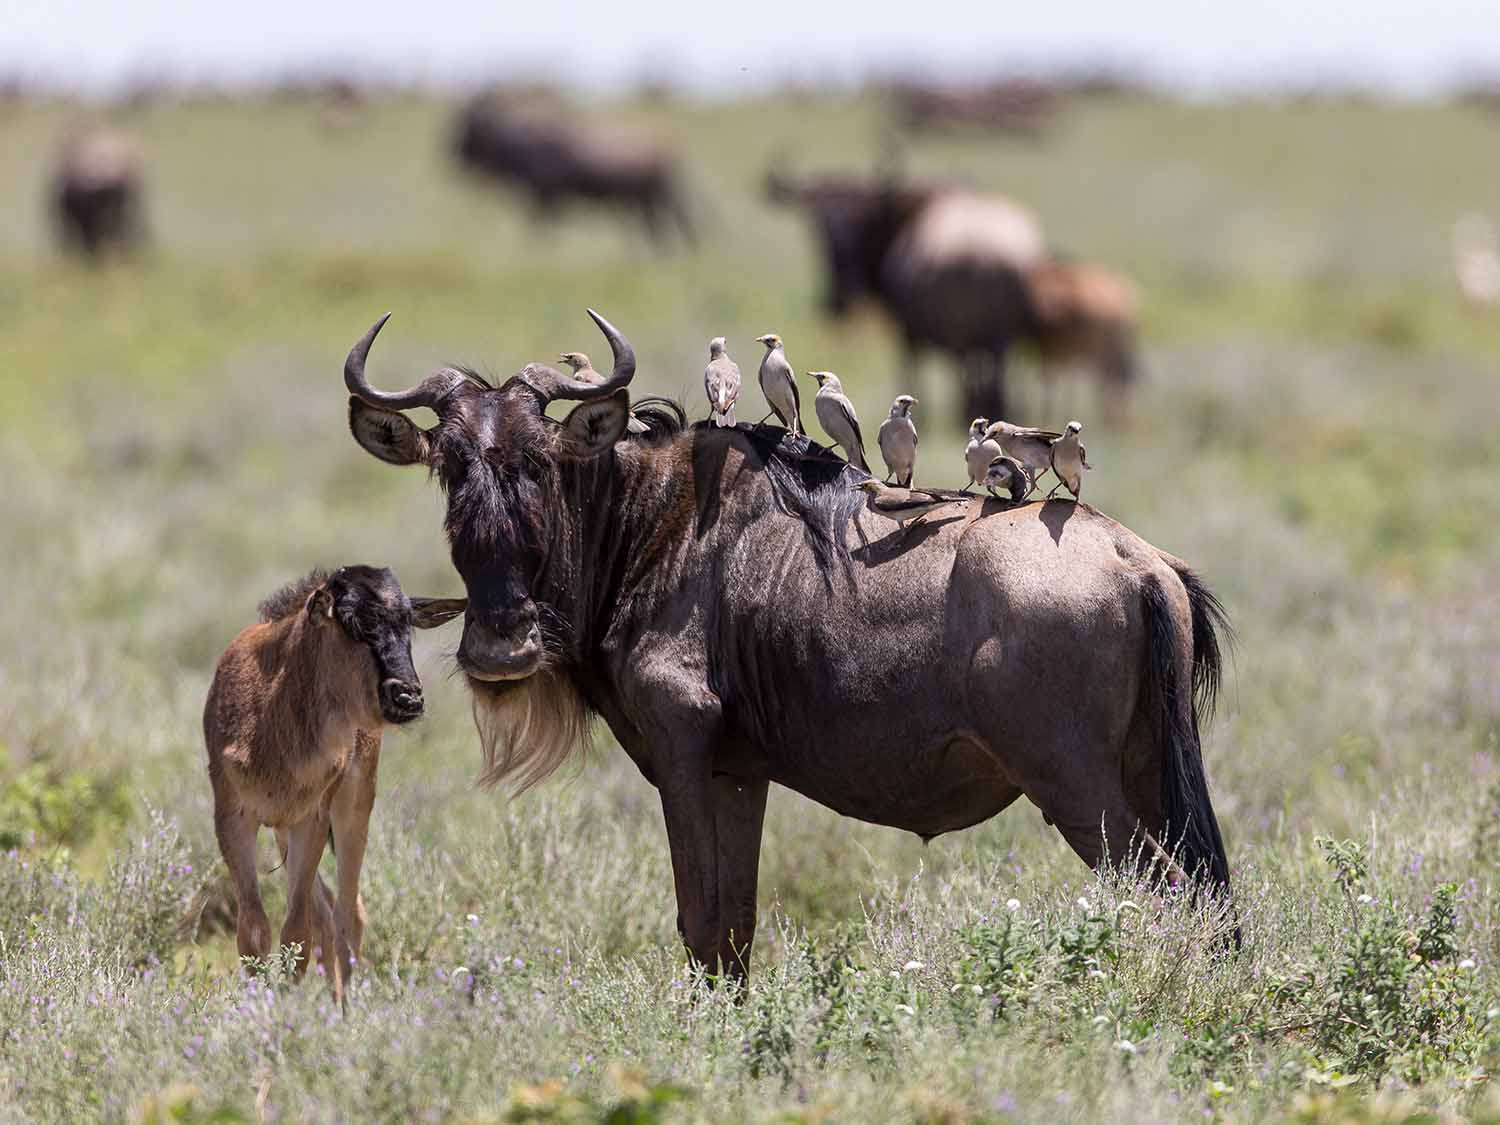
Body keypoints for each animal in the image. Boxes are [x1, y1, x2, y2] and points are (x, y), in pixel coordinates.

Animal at [338, 308, 1236, 985]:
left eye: (539, 462)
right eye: (450, 467)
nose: (501, 644)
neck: (648, 522)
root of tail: (1137, 559)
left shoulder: (680, 744)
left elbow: (699, 920)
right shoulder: (737, 770)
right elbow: (733, 929)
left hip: (1075, 785)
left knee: (1166, 895)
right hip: (1147, 769)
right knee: (1208, 897)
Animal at [453, 94, 694, 245]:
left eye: (471, 127)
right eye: (463, 123)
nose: (456, 155)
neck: (522, 147)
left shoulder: (546, 196)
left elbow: (539, 230)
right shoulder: (544, 198)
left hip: (652, 200)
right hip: (647, 203)